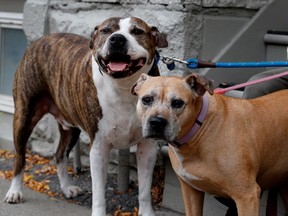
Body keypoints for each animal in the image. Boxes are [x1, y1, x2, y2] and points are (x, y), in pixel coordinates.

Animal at [132, 73, 288, 215]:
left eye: (177, 103)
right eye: (146, 99)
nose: (157, 122)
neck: (199, 131)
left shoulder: (247, 196)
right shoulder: (190, 191)